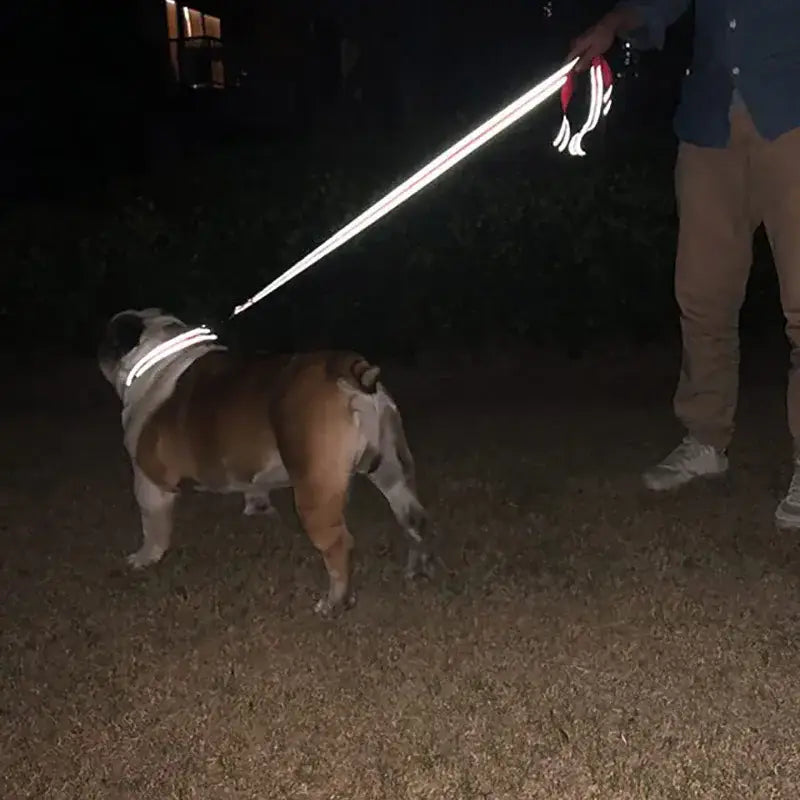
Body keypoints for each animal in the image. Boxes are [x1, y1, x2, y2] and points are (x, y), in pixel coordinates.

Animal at [97, 310, 434, 616]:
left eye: (111, 336)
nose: (98, 345)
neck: (157, 357)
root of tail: (343, 367)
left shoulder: (148, 481)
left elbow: (152, 525)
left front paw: (144, 558)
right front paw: (258, 510)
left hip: (315, 491)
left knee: (339, 544)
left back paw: (334, 602)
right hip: (392, 468)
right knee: (413, 518)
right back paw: (417, 569)